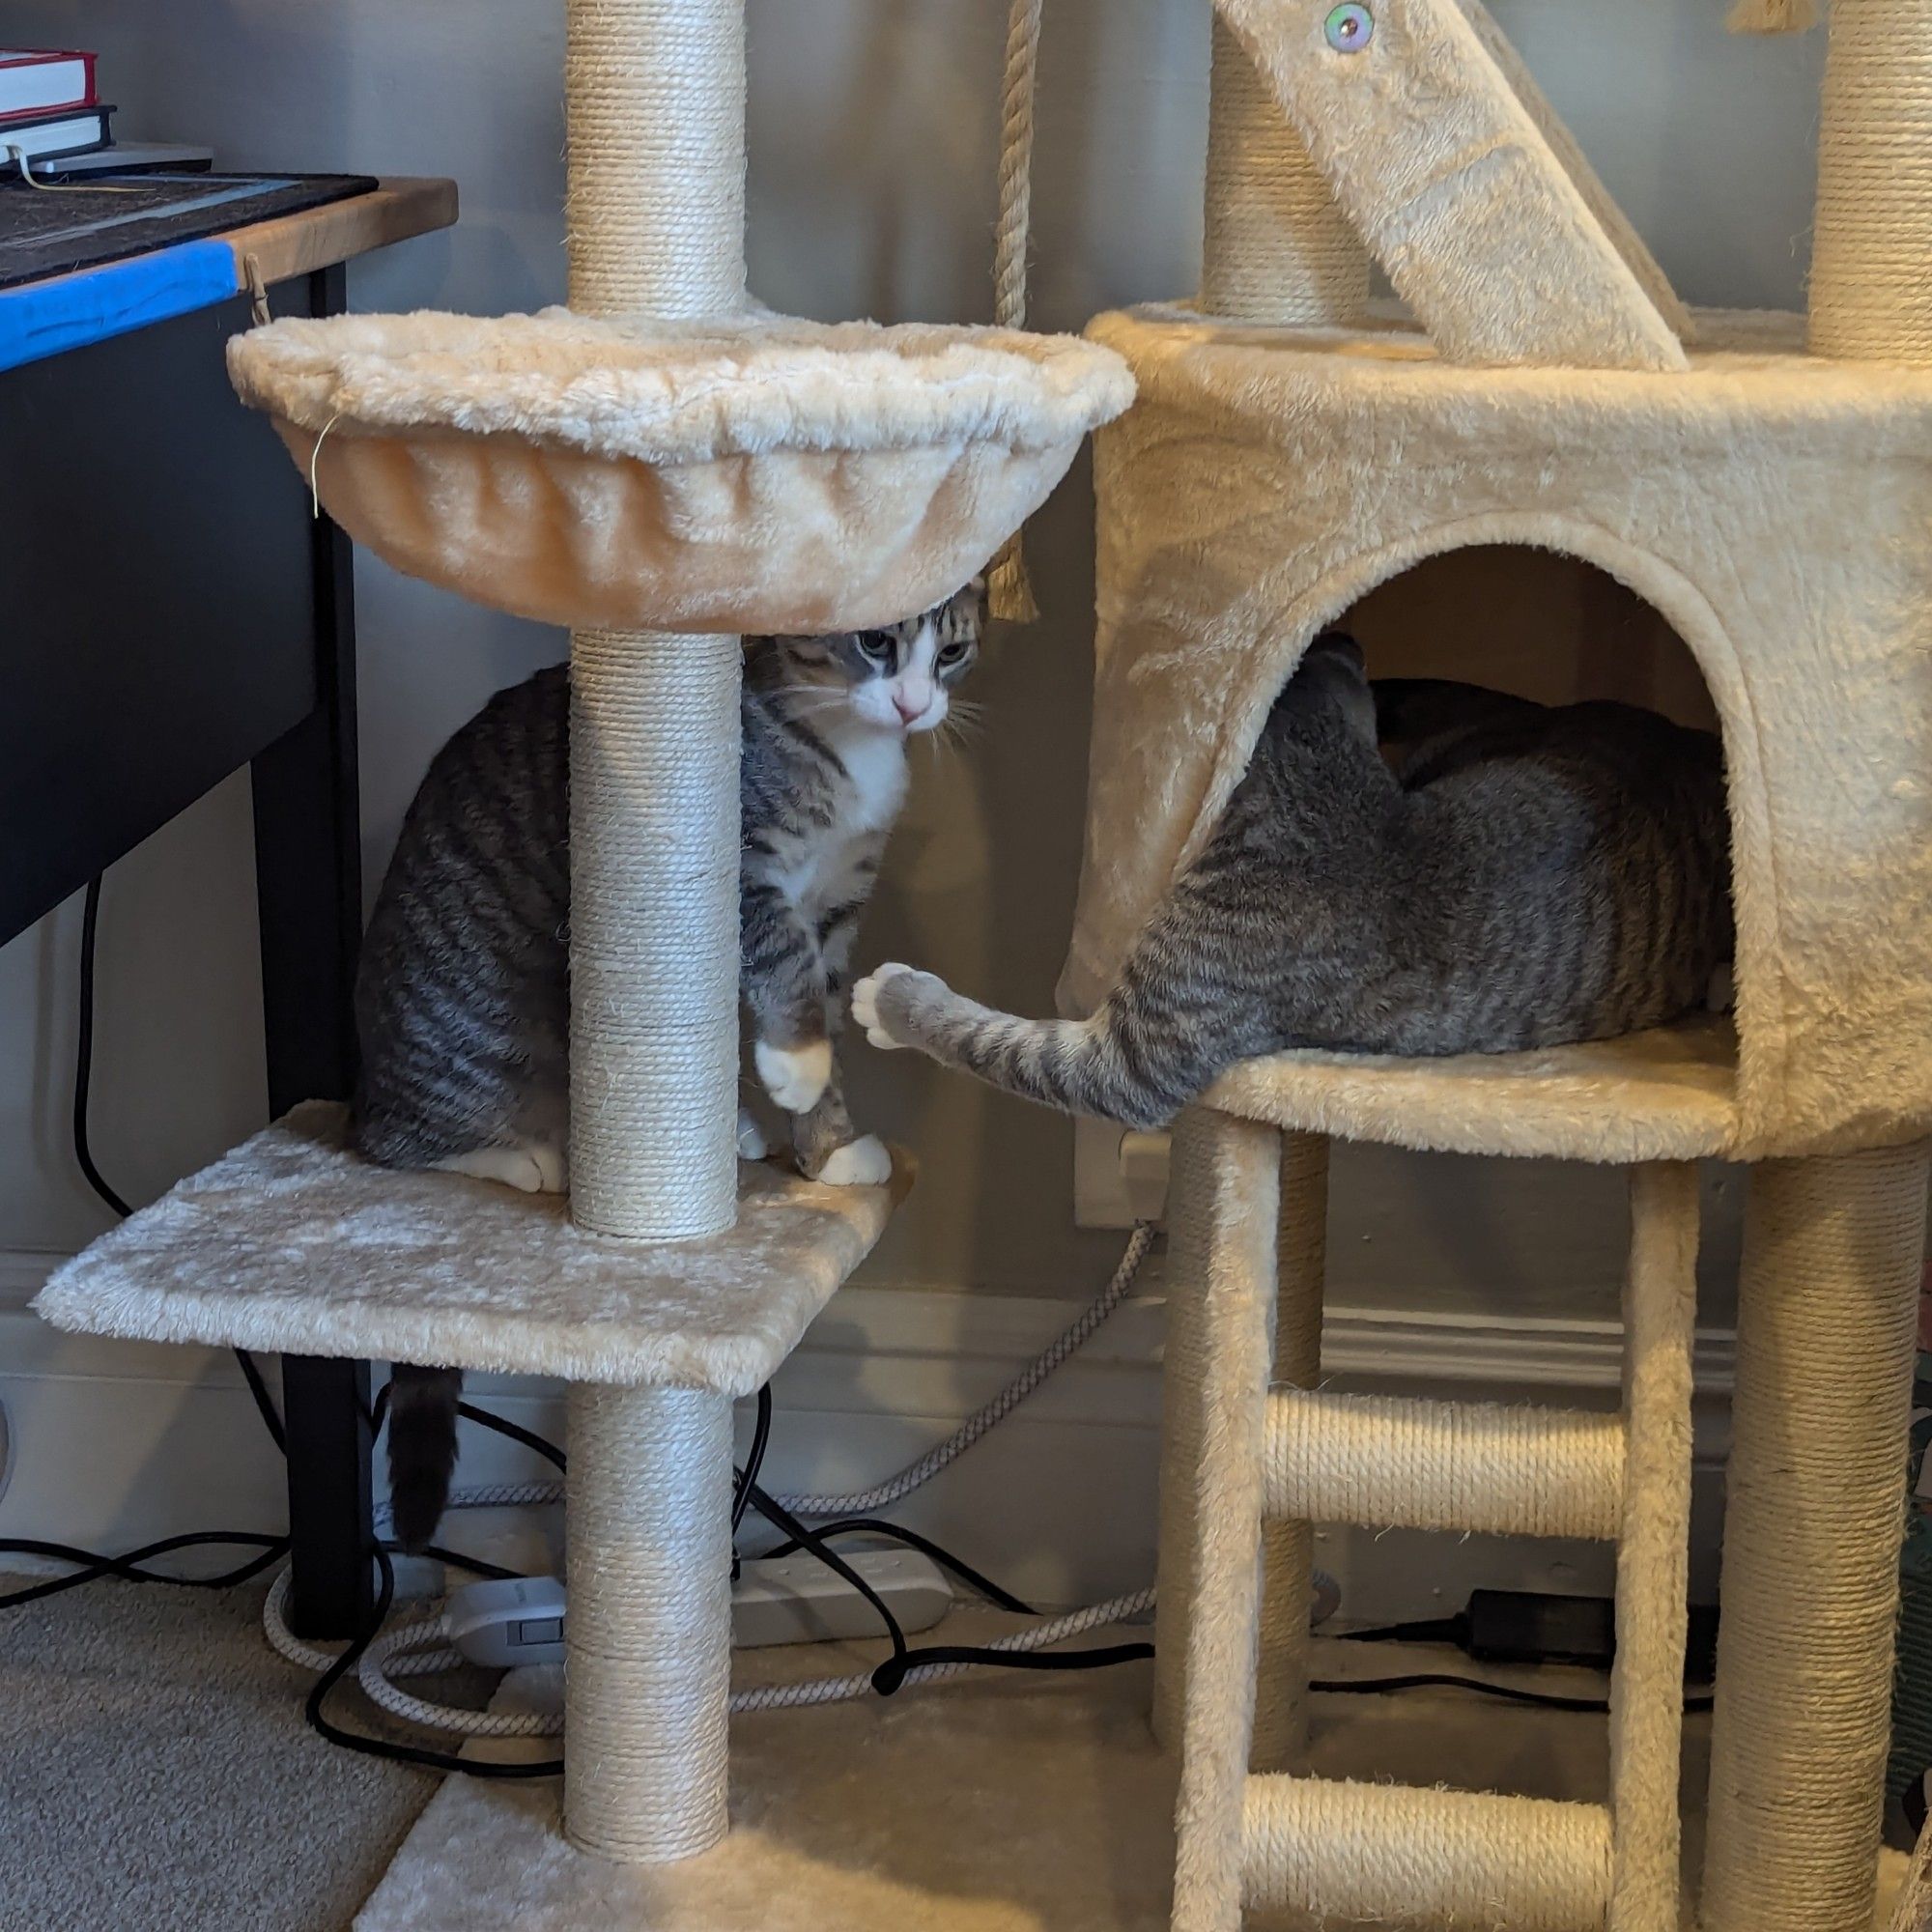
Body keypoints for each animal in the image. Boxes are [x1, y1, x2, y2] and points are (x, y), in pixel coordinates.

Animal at [359, 580, 981, 1546]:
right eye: (876, 643)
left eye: (951, 654)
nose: (915, 706)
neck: (842, 745)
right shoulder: (745, 870)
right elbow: (786, 976)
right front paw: (799, 1068)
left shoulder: (839, 903)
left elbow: (824, 1001)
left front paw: (829, 1146)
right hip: (477, 1033)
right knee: (393, 1141)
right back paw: (528, 1156)